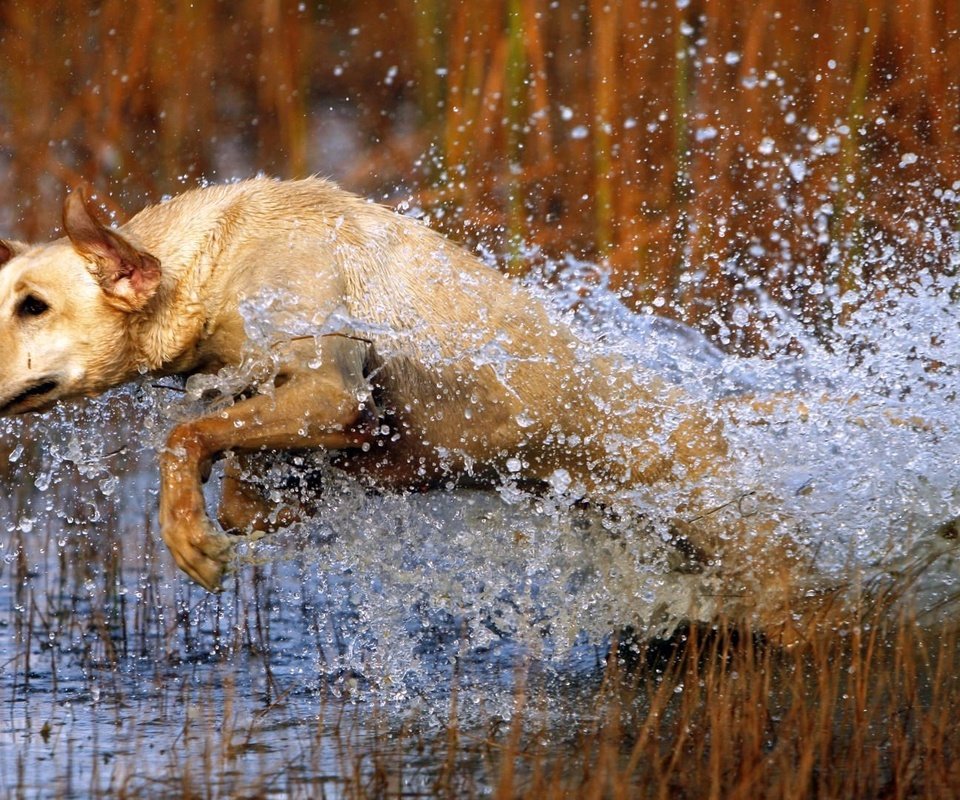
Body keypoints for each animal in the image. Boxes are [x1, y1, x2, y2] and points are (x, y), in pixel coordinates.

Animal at [0, 177, 804, 612]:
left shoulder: (330, 384)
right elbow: (240, 481)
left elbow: (185, 437)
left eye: (33, 305)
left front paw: (188, 536)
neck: (211, 263)